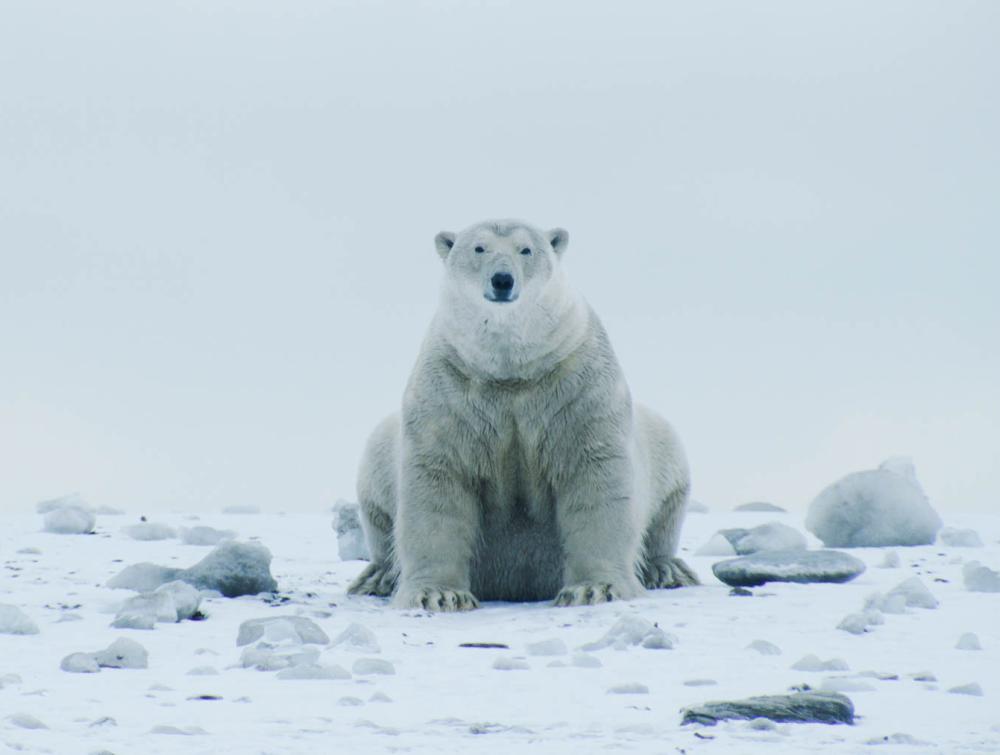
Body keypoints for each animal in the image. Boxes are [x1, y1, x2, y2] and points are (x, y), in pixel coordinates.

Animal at [348, 219, 698, 611]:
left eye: (526, 249)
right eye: (479, 248)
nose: (502, 279)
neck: (509, 370)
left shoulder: (577, 386)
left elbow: (596, 478)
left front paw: (594, 588)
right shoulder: (450, 391)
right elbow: (438, 483)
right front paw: (438, 594)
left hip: (664, 446)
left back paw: (665, 569)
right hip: (379, 453)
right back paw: (378, 576)